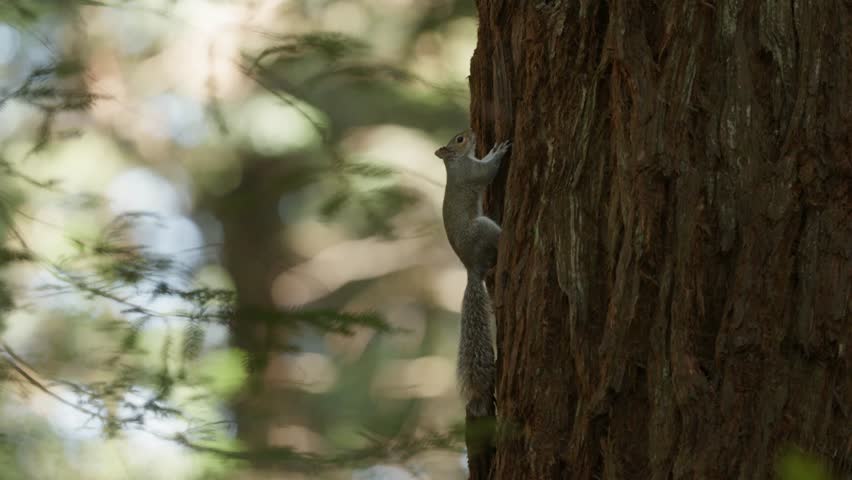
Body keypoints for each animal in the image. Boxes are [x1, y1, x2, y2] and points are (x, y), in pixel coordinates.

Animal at [435, 130, 510, 417]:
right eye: (459, 140)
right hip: (483, 228)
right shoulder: (472, 172)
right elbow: (487, 171)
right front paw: (498, 152)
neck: (455, 162)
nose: (472, 133)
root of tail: (471, 267)